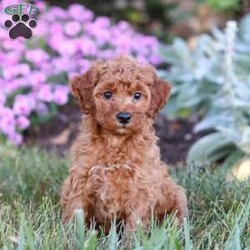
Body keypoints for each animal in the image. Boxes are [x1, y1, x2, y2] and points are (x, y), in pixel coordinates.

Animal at [60, 55, 188, 233]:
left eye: (137, 95)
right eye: (107, 94)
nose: (124, 117)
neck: (116, 142)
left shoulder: (141, 187)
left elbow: (134, 224)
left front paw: (133, 239)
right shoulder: (80, 180)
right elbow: (74, 213)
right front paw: (70, 236)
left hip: (178, 197)